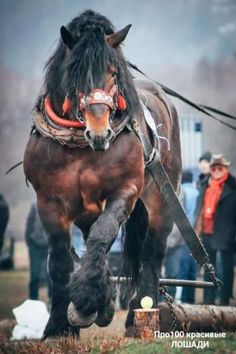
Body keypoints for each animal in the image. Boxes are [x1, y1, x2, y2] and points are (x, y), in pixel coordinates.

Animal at [23, 9, 181, 338]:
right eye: (74, 71)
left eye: (113, 73)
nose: (100, 131)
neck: (80, 147)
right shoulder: (48, 201)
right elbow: (60, 259)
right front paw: (59, 326)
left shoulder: (125, 191)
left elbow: (102, 236)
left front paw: (87, 300)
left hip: (162, 200)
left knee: (152, 254)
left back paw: (138, 313)